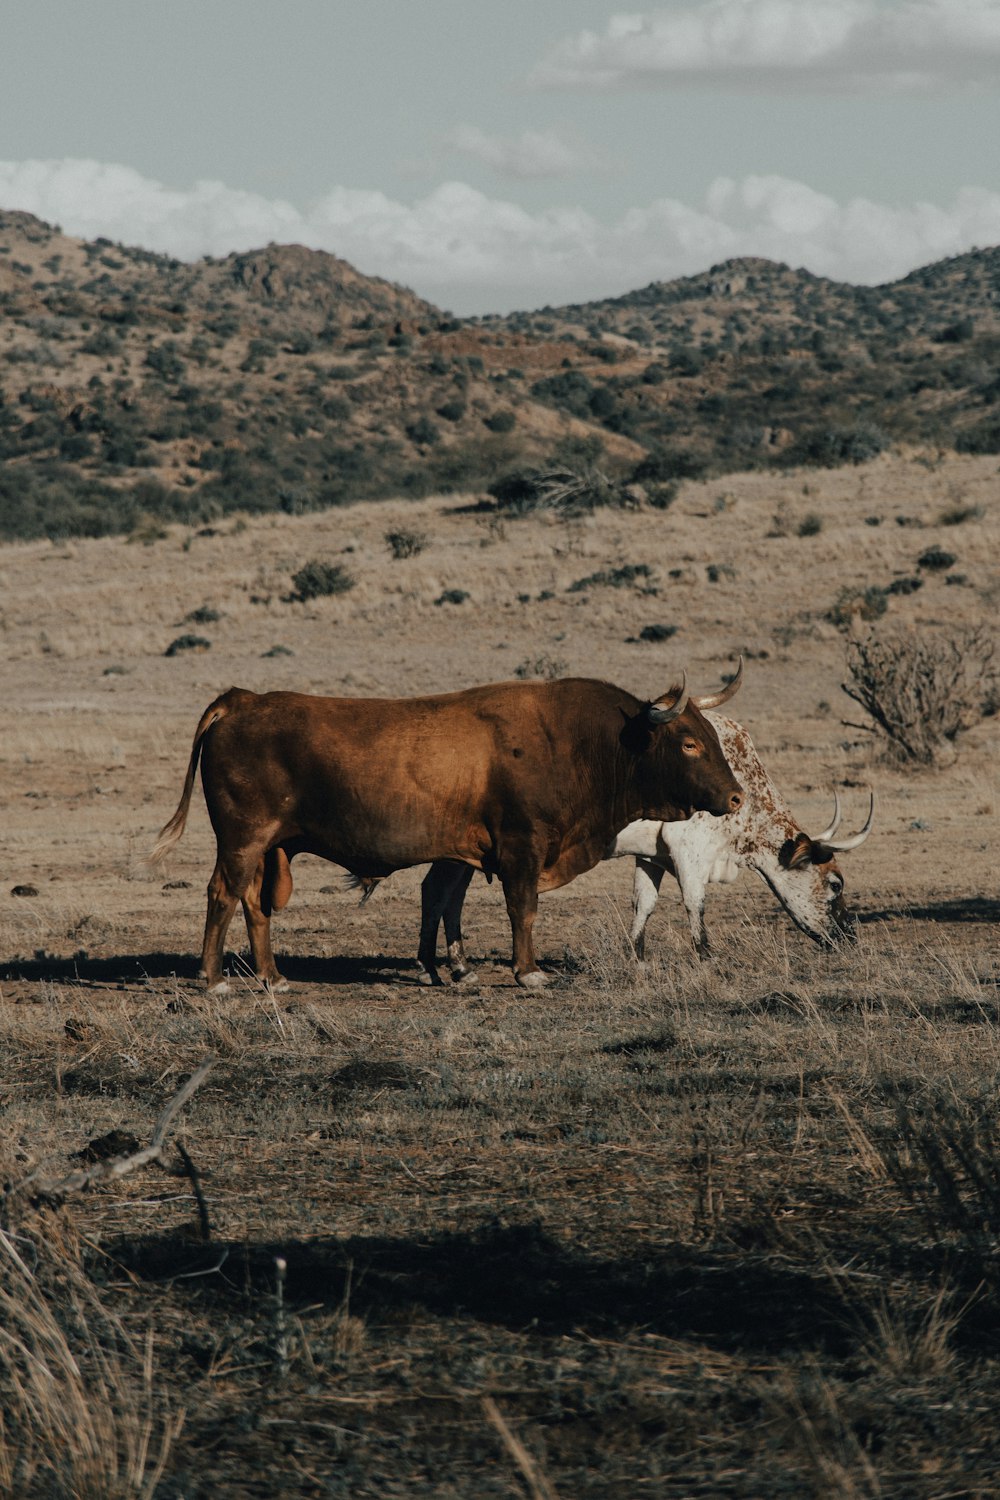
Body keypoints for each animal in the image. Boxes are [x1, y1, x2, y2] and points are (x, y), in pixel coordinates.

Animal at [150, 675, 743, 990]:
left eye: (712, 736)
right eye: (689, 742)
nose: (737, 797)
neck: (578, 741)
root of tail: (242, 699)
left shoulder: (468, 852)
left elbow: (448, 902)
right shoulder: (522, 847)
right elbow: (522, 910)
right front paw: (528, 972)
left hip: (266, 847)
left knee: (253, 904)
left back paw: (273, 977)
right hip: (242, 840)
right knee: (222, 895)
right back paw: (215, 980)